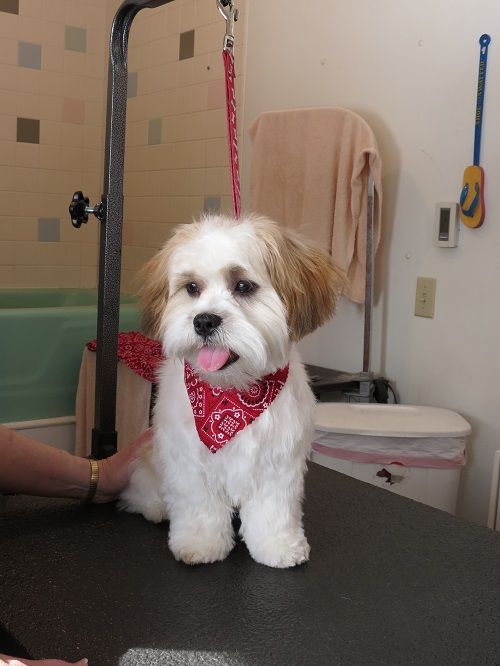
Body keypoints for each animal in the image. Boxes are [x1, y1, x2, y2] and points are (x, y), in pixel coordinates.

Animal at [120, 213, 344, 564]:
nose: (204, 320)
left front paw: (278, 545)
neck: (233, 393)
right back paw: (156, 506)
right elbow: (199, 506)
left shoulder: (278, 462)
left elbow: (274, 511)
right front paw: (200, 543)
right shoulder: (190, 461)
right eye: (192, 287)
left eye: (242, 286)